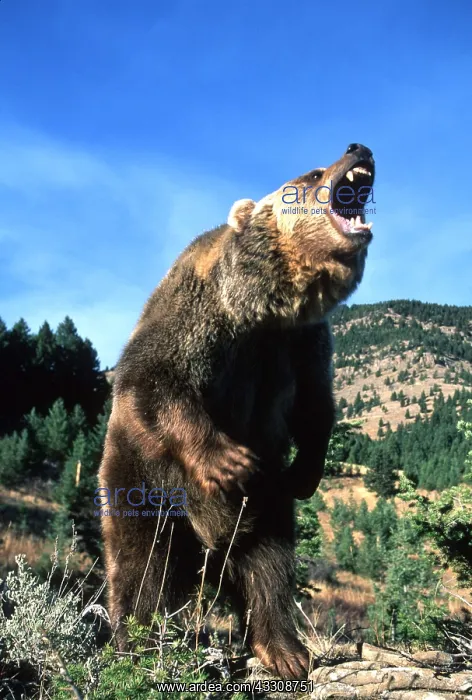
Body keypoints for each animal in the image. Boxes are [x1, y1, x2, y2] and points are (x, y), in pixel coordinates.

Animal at [99, 143, 375, 679]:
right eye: (314, 172)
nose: (359, 147)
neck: (266, 307)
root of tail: (205, 540)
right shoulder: (199, 311)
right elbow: (153, 377)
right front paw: (227, 458)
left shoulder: (302, 343)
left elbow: (315, 406)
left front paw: (306, 471)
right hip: (144, 483)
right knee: (142, 565)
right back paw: (137, 646)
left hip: (262, 508)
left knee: (268, 567)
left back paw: (284, 650)